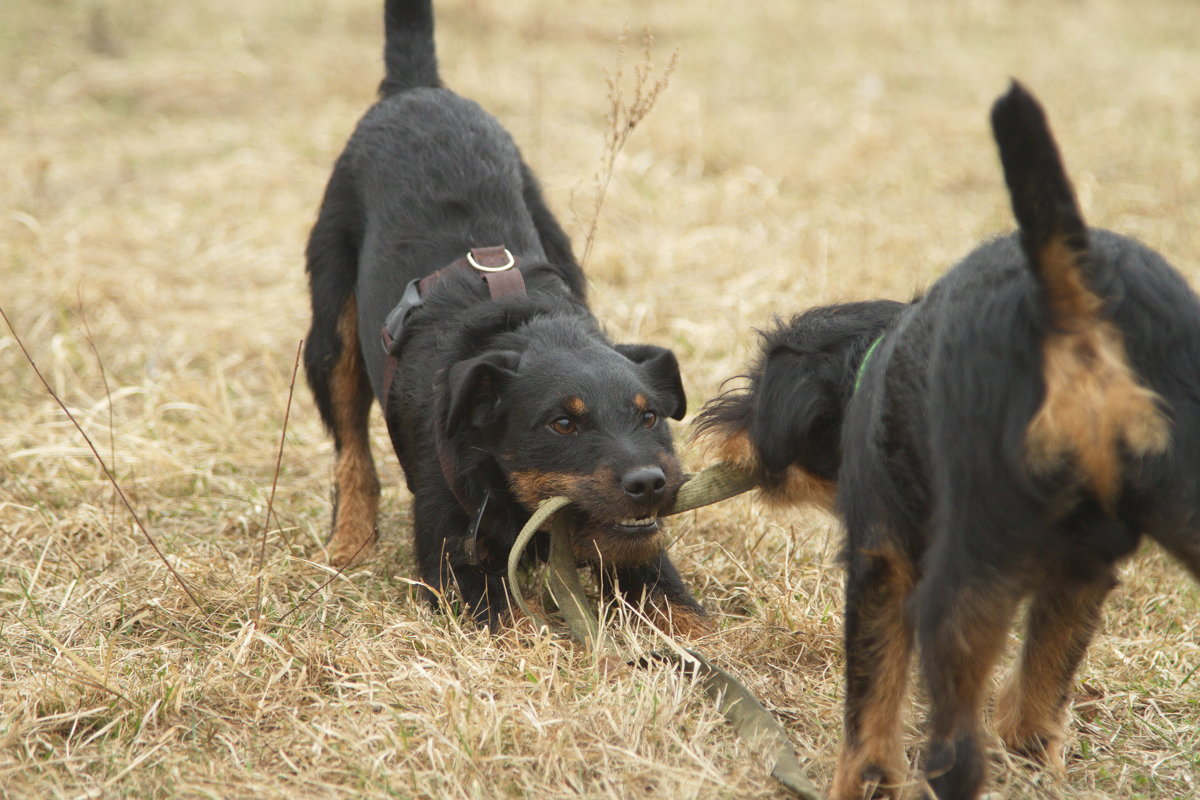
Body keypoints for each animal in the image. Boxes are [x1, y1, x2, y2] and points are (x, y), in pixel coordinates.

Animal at [696, 82, 1200, 800]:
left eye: (760, 383)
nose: (717, 420)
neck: (873, 364)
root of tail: (1071, 311)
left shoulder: (882, 556)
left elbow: (871, 701)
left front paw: (859, 783)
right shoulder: (1082, 570)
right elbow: (1045, 677)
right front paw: (1034, 754)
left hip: (962, 566)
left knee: (955, 744)